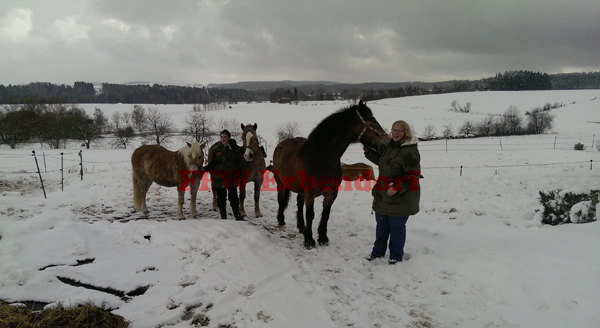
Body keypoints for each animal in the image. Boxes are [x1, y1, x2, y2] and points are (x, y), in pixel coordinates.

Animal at [272, 100, 390, 249]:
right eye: (373, 120)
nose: (386, 143)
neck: (320, 158)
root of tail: (281, 144)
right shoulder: (310, 194)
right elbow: (310, 214)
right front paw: (309, 241)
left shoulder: (331, 193)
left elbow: (325, 214)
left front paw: (322, 238)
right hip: (281, 184)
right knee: (281, 200)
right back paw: (281, 221)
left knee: (299, 204)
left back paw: (301, 227)